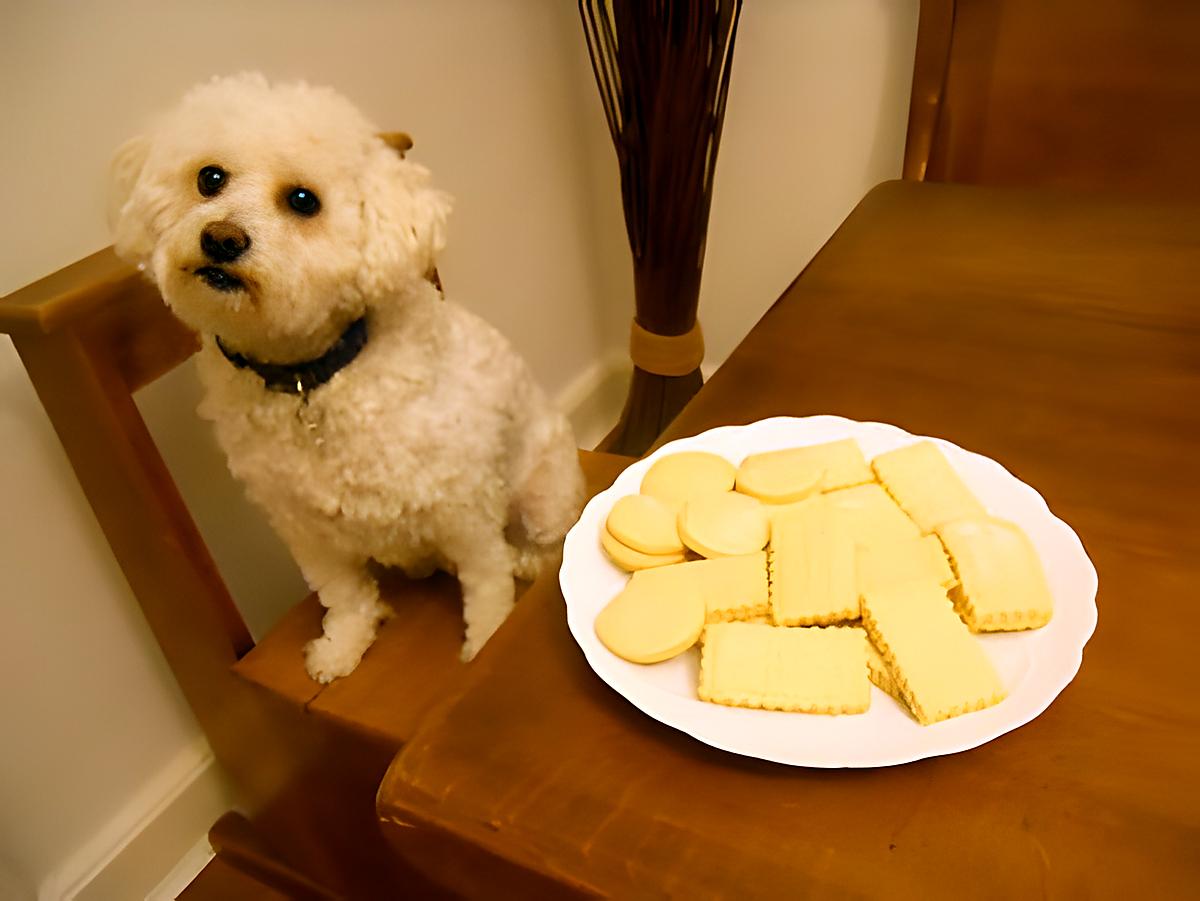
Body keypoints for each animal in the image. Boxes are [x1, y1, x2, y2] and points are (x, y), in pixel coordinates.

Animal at [108, 75, 585, 681]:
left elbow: (486, 585)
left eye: (303, 201)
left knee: (544, 544)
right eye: (209, 178)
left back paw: (530, 559)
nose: (221, 238)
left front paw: (486, 645)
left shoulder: (464, 505)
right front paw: (342, 647)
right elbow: (344, 596)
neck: (312, 379)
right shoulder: (304, 528)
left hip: (544, 493)